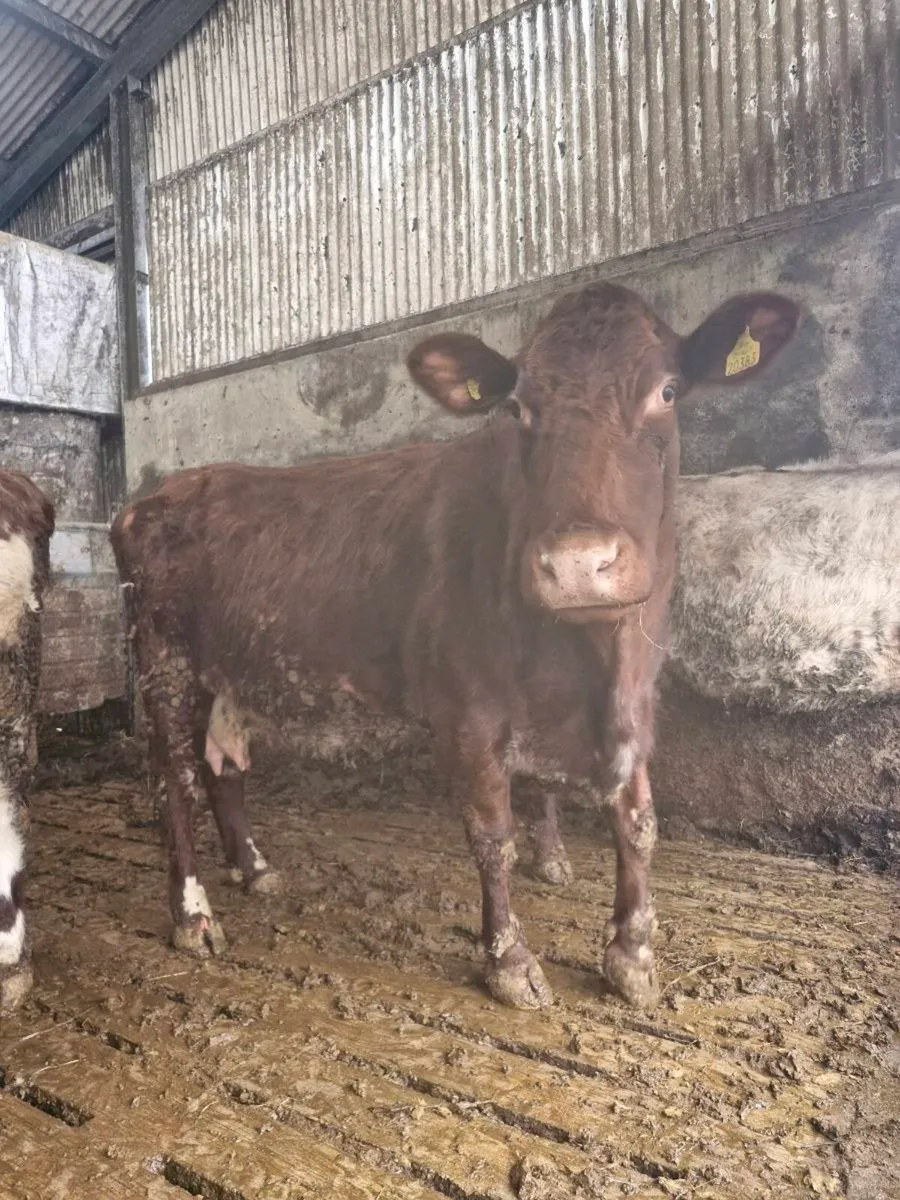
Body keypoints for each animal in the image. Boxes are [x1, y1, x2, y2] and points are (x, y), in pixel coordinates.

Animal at [111, 283, 800, 1011]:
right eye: (518, 406)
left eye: (667, 391)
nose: (577, 563)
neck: (592, 664)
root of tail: (157, 494)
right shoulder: (468, 711)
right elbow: (492, 836)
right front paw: (510, 961)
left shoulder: (637, 701)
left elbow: (639, 822)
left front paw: (632, 953)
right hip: (163, 664)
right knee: (176, 781)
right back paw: (193, 915)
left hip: (229, 672)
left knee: (225, 768)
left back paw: (255, 869)